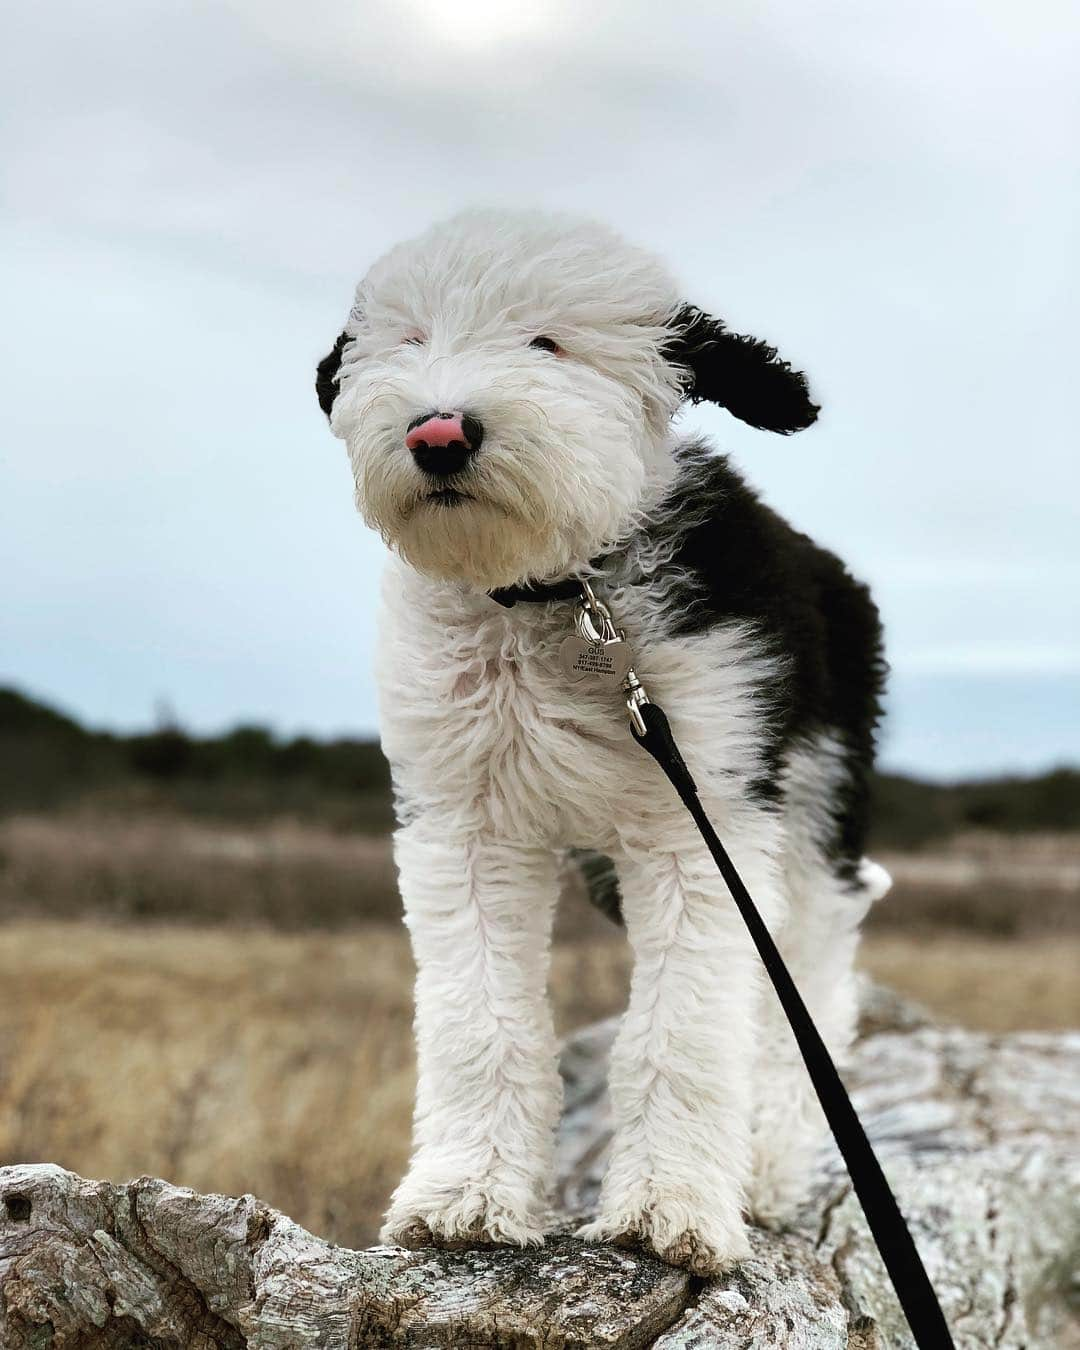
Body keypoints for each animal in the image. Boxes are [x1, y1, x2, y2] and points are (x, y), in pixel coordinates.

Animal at [315, 210, 891, 1274]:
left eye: (549, 343)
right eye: (410, 340)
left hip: (812, 820)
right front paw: (464, 1198)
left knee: (810, 990)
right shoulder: (463, 825)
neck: (564, 594)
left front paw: (670, 1209)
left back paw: (766, 1168)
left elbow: (682, 1031)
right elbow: (479, 1023)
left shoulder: (700, 826)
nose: (438, 433)